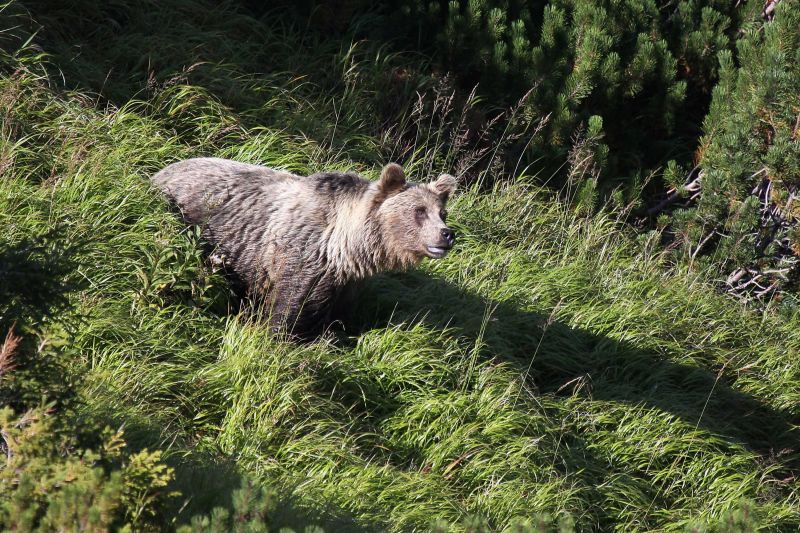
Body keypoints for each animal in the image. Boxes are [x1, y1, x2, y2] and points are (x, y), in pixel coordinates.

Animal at [152, 156, 456, 334]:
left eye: (442, 212)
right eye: (419, 211)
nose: (446, 235)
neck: (344, 249)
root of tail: (161, 170)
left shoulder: (346, 284)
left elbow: (340, 319)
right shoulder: (301, 261)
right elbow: (288, 311)